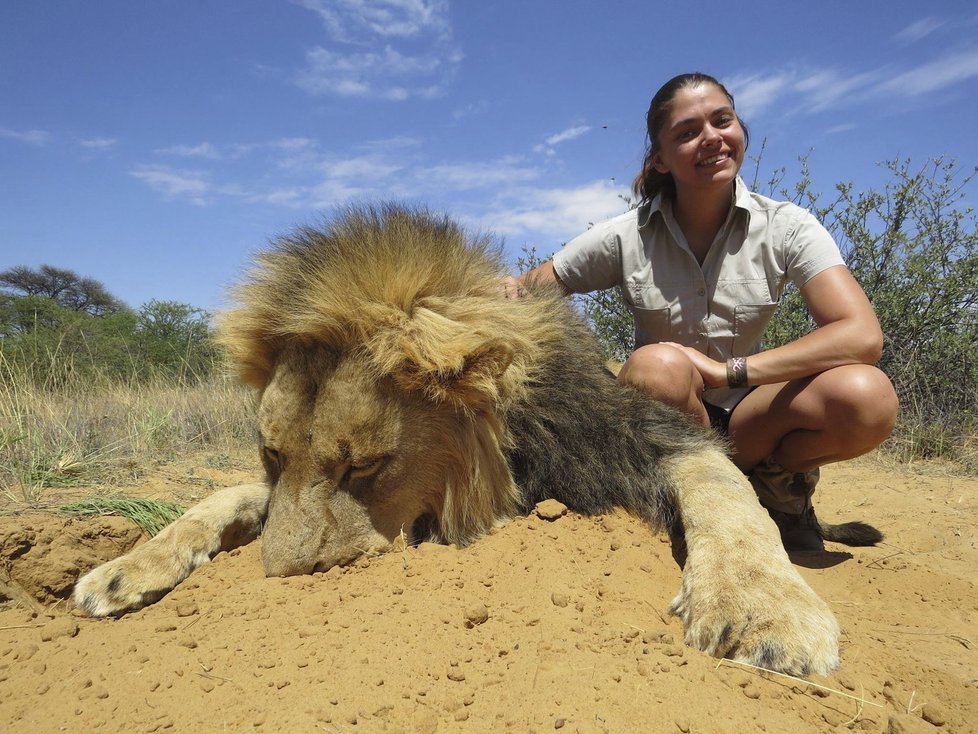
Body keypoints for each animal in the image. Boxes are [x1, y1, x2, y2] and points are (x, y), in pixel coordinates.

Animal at [72, 204, 856, 676]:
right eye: (271, 454)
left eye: (367, 467)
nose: (281, 580)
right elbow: (223, 496)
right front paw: (123, 569)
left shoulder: (632, 436)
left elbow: (722, 490)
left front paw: (762, 608)